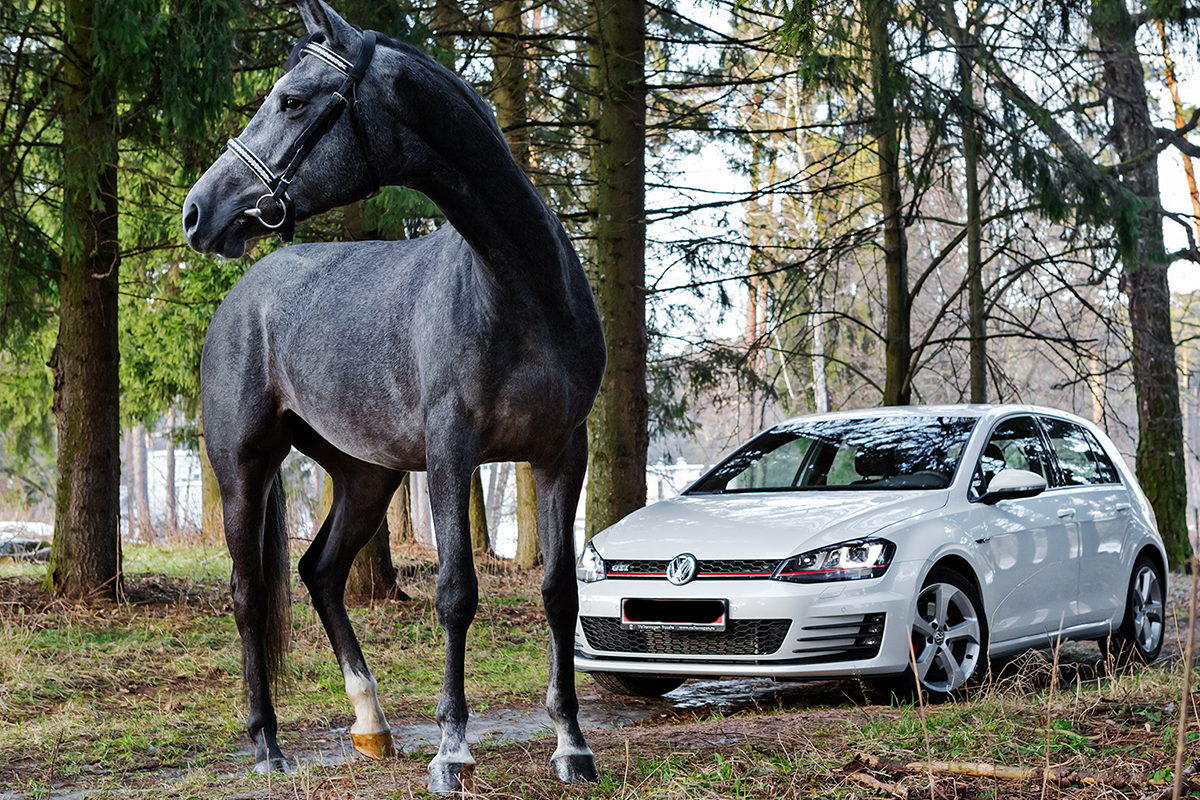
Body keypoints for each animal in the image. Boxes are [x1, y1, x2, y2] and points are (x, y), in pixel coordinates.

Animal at [181, 0, 604, 786]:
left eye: (292, 100)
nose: (198, 211)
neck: (519, 287)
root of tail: (243, 294)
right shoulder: (451, 451)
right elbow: (456, 593)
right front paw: (452, 750)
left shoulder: (564, 451)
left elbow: (560, 593)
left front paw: (572, 745)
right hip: (242, 470)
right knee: (249, 595)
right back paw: (268, 745)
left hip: (366, 475)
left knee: (319, 572)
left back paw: (371, 723)